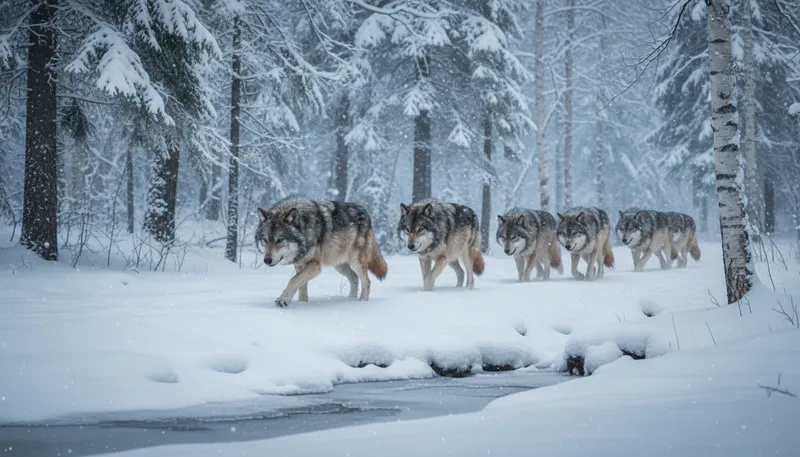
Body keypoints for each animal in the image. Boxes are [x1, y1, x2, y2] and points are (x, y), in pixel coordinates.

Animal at [255, 196, 387, 307]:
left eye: (280, 240)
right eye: (265, 239)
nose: (267, 260)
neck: (305, 229)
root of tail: (366, 212)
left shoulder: (315, 265)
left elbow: (293, 280)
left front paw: (283, 299)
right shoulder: (299, 266)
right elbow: (301, 288)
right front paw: (303, 304)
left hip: (355, 262)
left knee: (367, 282)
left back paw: (360, 303)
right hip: (339, 265)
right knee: (354, 279)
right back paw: (349, 300)